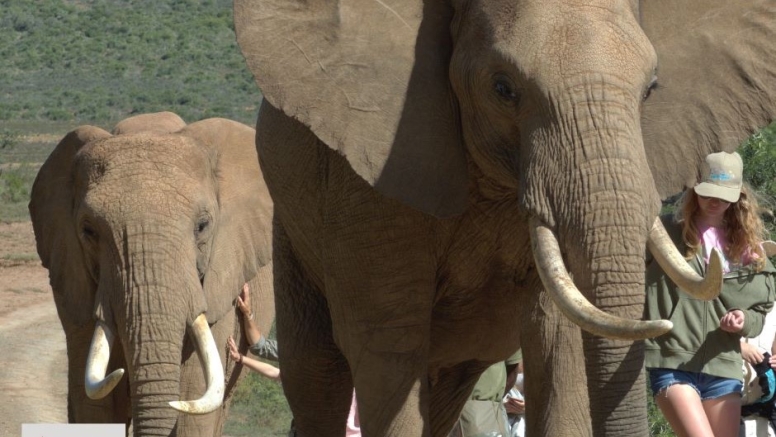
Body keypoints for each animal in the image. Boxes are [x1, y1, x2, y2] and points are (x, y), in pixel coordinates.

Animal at [233, 0, 776, 436]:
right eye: (503, 88)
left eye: (651, 89)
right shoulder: (367, 175)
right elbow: (387, 346)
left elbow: (559, 342)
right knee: (317, 374)